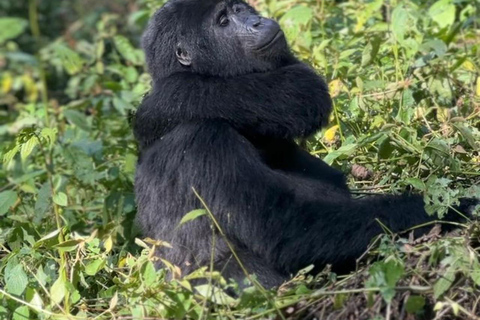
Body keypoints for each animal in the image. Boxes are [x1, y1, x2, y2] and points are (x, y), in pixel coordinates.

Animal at [134, 0, 476, 288]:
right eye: (223, 20)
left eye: (239, 8)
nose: (257, 21)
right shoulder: (204, 138)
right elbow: (290, 230)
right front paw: (444, 209)